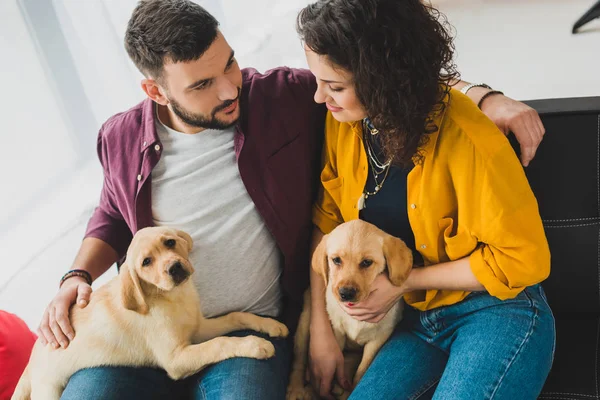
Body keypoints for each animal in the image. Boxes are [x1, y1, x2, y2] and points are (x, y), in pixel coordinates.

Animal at [11, 227, 288, 398]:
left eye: (170, 242)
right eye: (146, 262)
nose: (175, 268)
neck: (171, 298)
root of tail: (31, 363)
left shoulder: (198, 329)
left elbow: (235, 316)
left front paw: (269, 325)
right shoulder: (176, 358)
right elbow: (220, 343)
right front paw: (255, 345)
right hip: (49, 390)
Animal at [288, 220, 412, 398]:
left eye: (367, 262)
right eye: (336, 260)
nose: (345, 293)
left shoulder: (379, 338)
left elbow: (362, 369)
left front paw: (350, 388)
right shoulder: (337, 332)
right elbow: (335, 359)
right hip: (304, 325)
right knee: (299, 359)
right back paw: (296, 389)